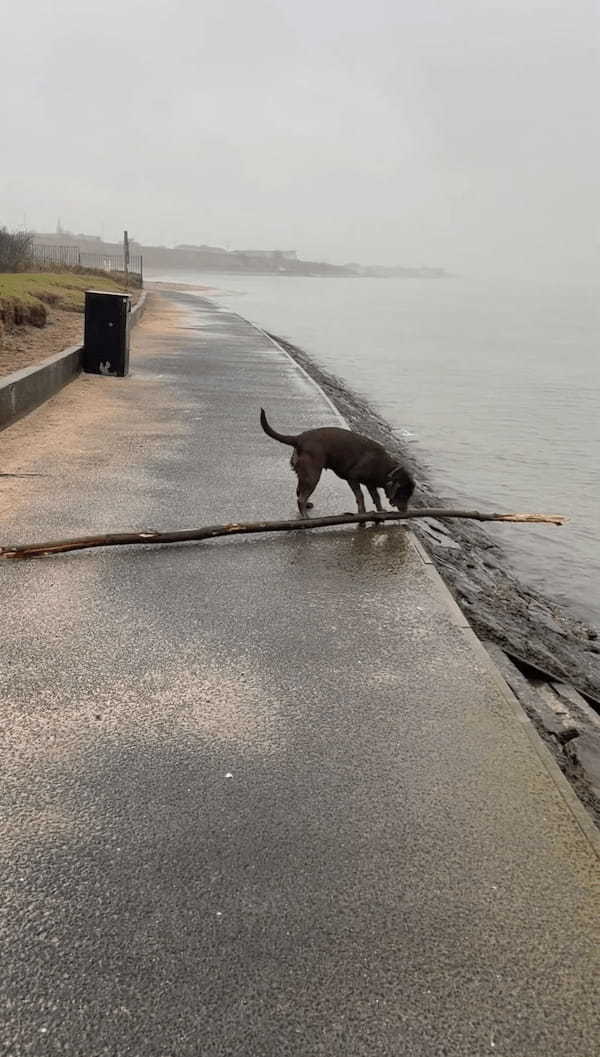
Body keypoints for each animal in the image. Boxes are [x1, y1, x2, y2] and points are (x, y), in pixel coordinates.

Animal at [259, 408, 414, 515]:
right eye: (403, 495)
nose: (405, 511)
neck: (387, 469)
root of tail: (299, 438)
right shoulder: (353, 478)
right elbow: (360, 496)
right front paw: (362, 513)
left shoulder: (371, 483)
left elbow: (376, 497)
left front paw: (380, 510)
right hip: (313, 475)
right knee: (300, 498)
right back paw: (305, 518)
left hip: (303, 473)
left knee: (299, 492)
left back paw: (307, 506)